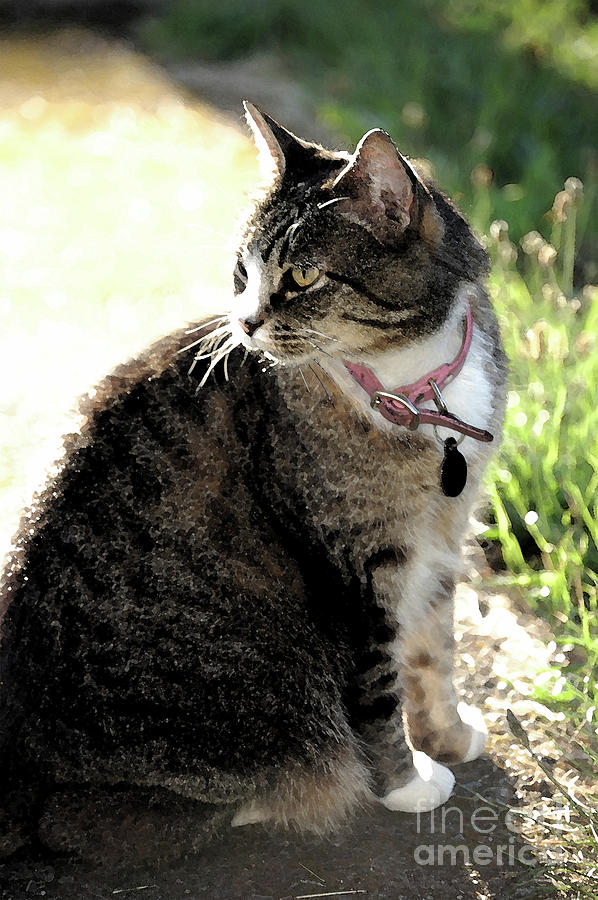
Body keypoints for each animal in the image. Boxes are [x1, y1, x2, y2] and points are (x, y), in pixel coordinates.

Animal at [0, 102, 506, 860]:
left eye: (300, 278)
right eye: (243, 271)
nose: (244, 323)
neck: (415, 388)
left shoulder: (440, 545)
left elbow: (434, 653)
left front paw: (446, 737)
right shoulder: (355, 573)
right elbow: (380, 687)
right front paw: (407, 782)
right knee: (96, 819)